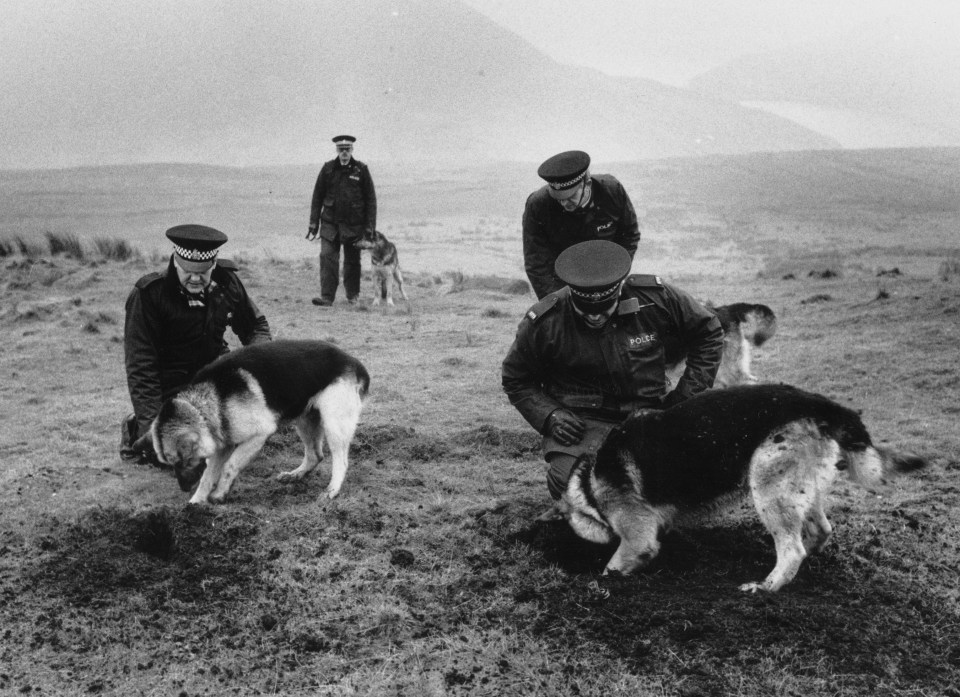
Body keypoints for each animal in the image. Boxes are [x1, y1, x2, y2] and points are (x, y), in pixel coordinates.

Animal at [152, 338, 370, 500]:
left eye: (184, 461)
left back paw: (332, 490)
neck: (204, 404)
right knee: (315, 455)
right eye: (171, 463)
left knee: (341, 461)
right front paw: (196, 503)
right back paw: (296, 475)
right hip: (305, 420)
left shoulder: (258, 435)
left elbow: (230, 466)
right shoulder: (223, 444)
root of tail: (354, 362)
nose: (183, 488)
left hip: (334, 426)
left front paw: (219, 494)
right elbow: (208, 475)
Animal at [568, 384, 928, 588]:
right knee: (818, 531)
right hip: (800, 490)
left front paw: (599, 585)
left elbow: (611, 568)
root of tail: (819, 403)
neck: (589, 490)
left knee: (792, 549)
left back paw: (766, 587)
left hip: (769, 489)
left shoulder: (636, 539)